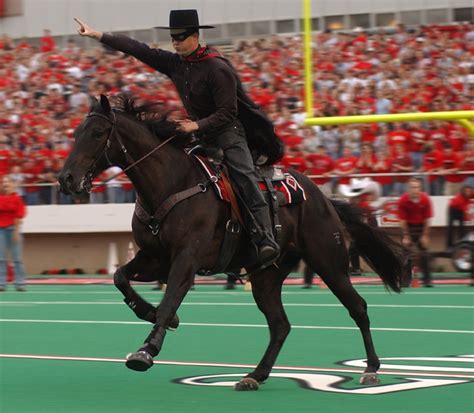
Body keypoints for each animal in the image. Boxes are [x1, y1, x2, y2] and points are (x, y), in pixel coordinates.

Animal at [57, 96, 406, 390]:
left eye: (98, 133)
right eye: (75, 133)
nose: (66, 179)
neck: (173, 183)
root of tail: (323, 198)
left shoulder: (187, 258)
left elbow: (170, 299)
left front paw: (147, 350)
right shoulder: (154, 258)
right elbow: (121, 278)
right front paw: (153, 313)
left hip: (328, 262)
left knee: (358, 308)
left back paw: (371, 369)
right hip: (266, 276)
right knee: (280, 325)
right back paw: (255, 375)